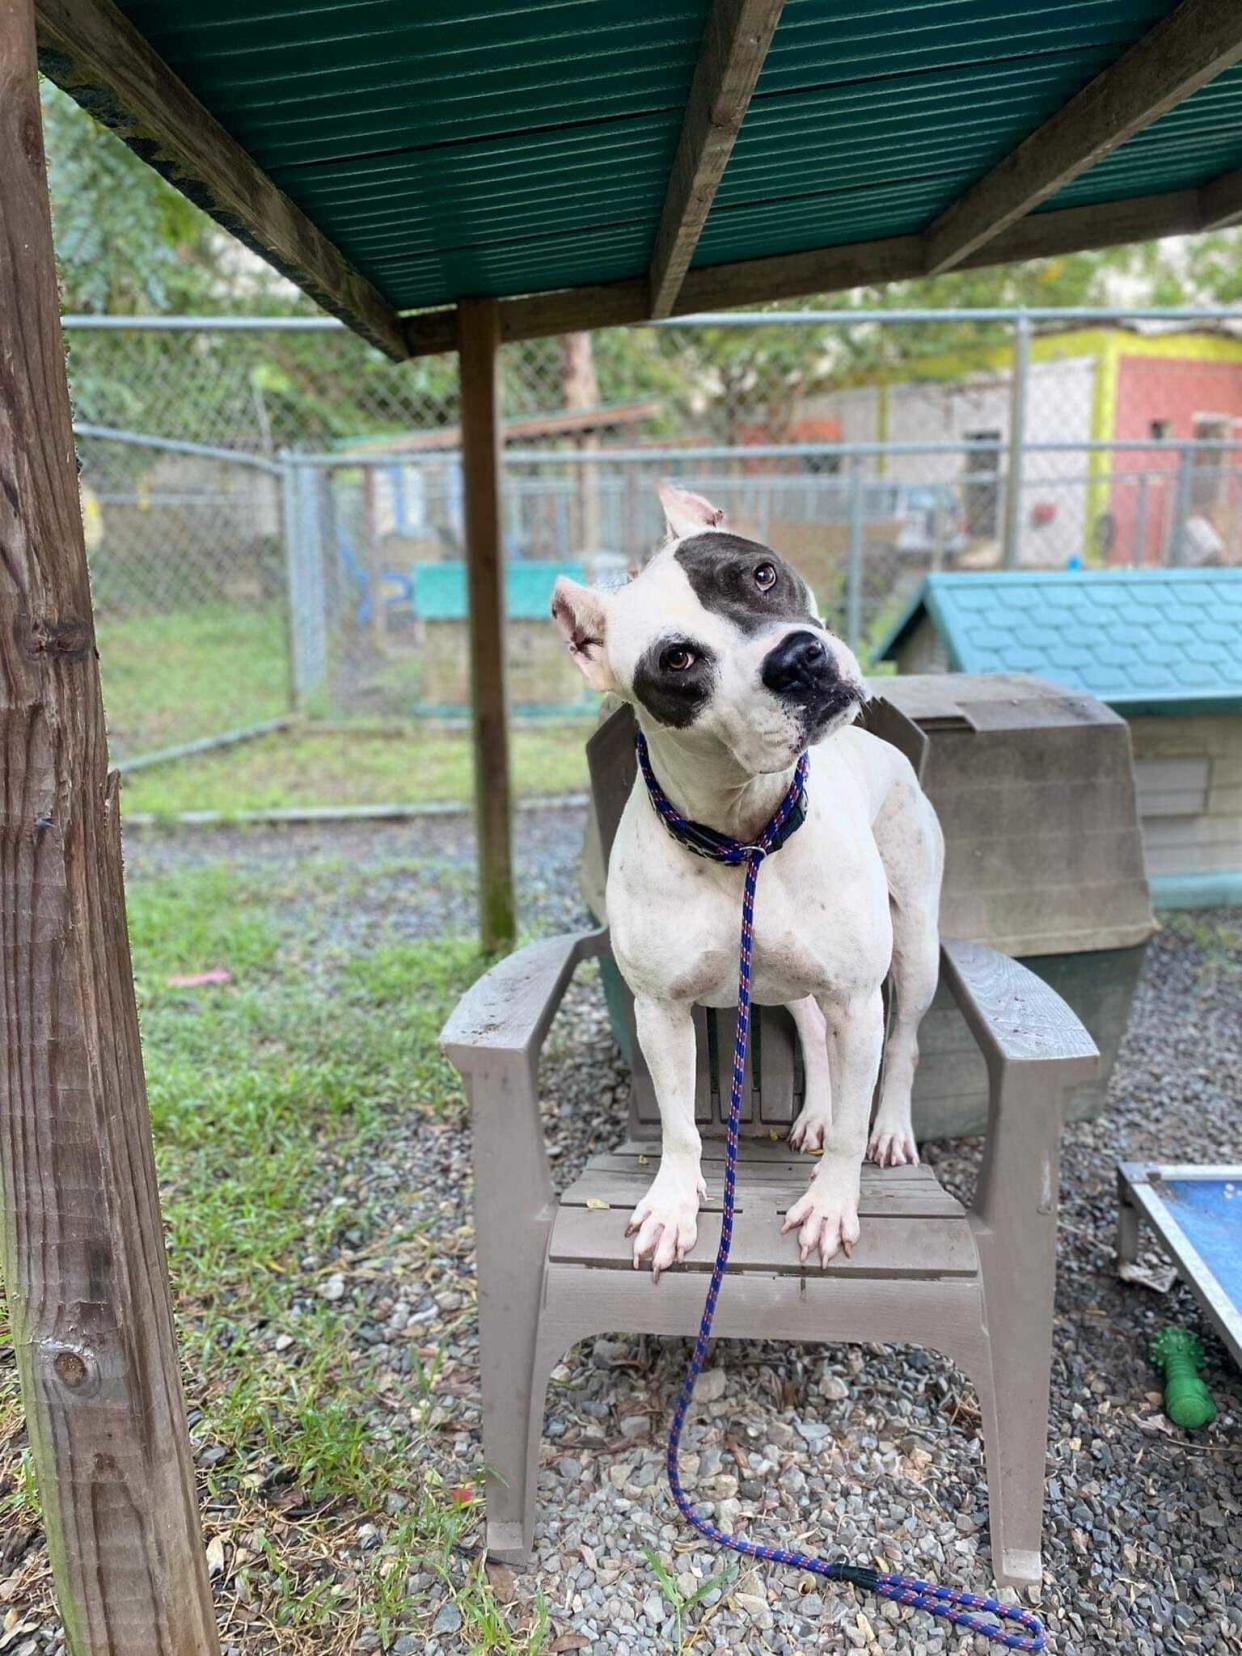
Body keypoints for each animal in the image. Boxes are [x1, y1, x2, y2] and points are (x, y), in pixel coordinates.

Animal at [553, 483, 940, 1271]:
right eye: (677, 658)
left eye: (761, 574)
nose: (797, 659)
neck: (745, 836)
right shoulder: (661, 1013)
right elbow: (678, 1124)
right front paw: (673, 1205)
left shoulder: (859, 998)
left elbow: (852, 1120)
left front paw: (831, 1204)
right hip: (780, 984)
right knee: (814, 1035)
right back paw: (815, 1113)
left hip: (916, 946)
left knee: (904, 1044)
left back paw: (890, 1129)